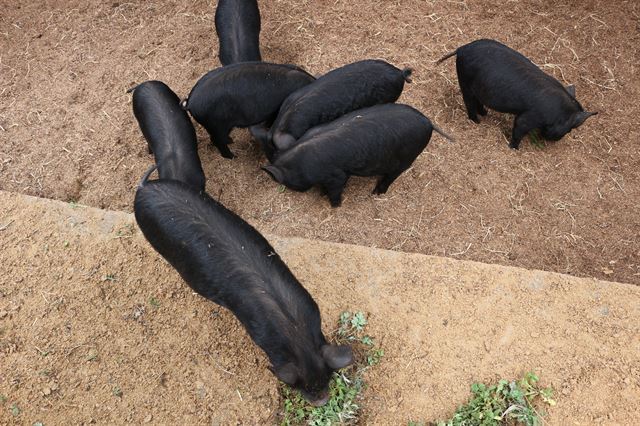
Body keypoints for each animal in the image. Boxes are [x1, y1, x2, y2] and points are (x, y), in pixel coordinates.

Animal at [181, 61, 316, 158]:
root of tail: (190, 102)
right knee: (217, 140)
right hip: (216, 125)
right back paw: (233, 156)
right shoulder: (274, 112)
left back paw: (231, 141)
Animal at [260, 103, 450, 206]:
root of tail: (428, 122)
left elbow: (336, 190)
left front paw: (334, 205)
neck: (300, 163)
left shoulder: (337, 175)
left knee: (393, 175)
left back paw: (376, 193)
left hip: (407, 158)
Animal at [438, 39, 596, 150]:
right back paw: (477, 122)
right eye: (570, 129)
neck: (558, 112)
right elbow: (518, 129)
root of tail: (461, 48)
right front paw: (514, 148)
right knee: (469, 102)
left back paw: (485, 114)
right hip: (464, 81)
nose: (556, 140)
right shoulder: (528, 117)